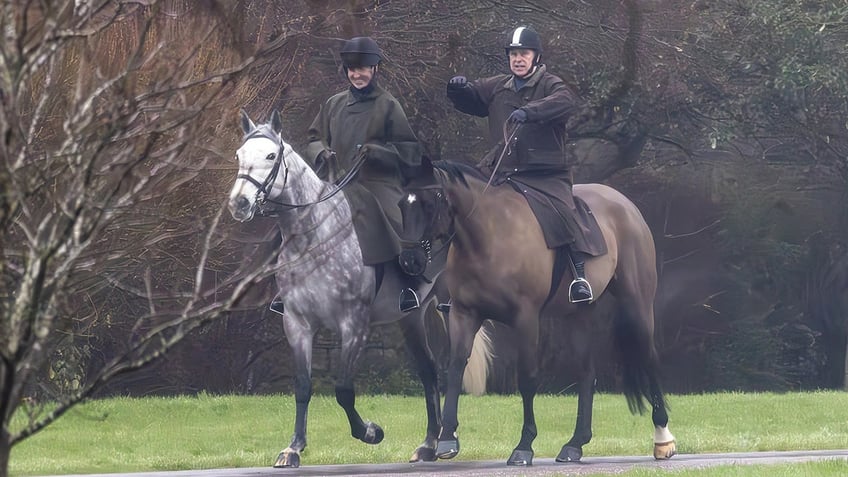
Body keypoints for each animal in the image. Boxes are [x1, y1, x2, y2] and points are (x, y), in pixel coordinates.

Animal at [229, 109, 448, 466]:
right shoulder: (298, 324)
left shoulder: (353, 324)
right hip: (411, 317)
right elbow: (303, 386)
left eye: (271, 156)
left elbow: (344, 390)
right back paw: (429, 444)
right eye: (239, 155)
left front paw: (371, 432)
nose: (239, 203)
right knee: (429, 370)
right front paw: (293, 448)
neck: (315, 236)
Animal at [400, 159, 680, 464]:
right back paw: (575, 444)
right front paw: (447, 439)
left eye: (429, 203)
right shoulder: (464, 314)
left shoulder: (526, 319)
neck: (489, 236)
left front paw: (524, 446)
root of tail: (625, 204)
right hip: (578, 316)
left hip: (636, 305)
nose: (409, 261)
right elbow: (455, 368)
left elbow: (527, 378)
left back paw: (663, 439)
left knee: (648, 357)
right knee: (586, 373)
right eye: (402, 203)